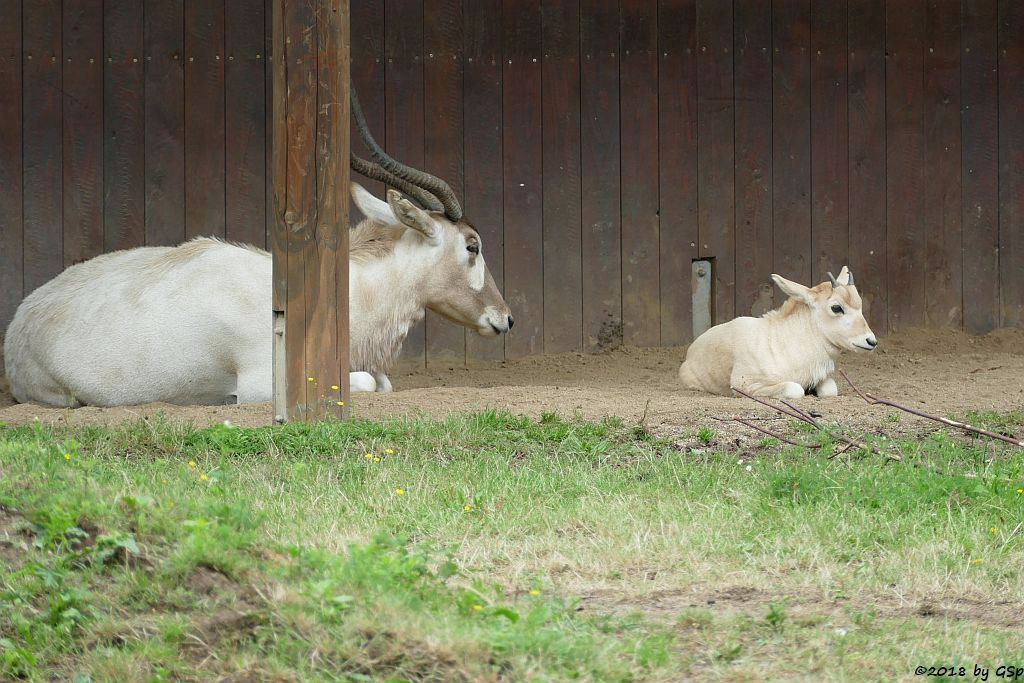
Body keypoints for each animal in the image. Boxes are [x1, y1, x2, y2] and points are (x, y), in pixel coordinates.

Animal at [1, 89, 512, 405]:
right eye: (472, 245)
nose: (505, 319)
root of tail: (22, 320)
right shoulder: (266, 383)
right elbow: (370, 380)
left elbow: (382, 381)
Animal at [679, 264, 880, 397]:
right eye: (836, 307)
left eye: (860, 305)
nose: (871, 341)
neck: (781, 344)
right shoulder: (744, 383)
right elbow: (795, 389)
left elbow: (830, 390)